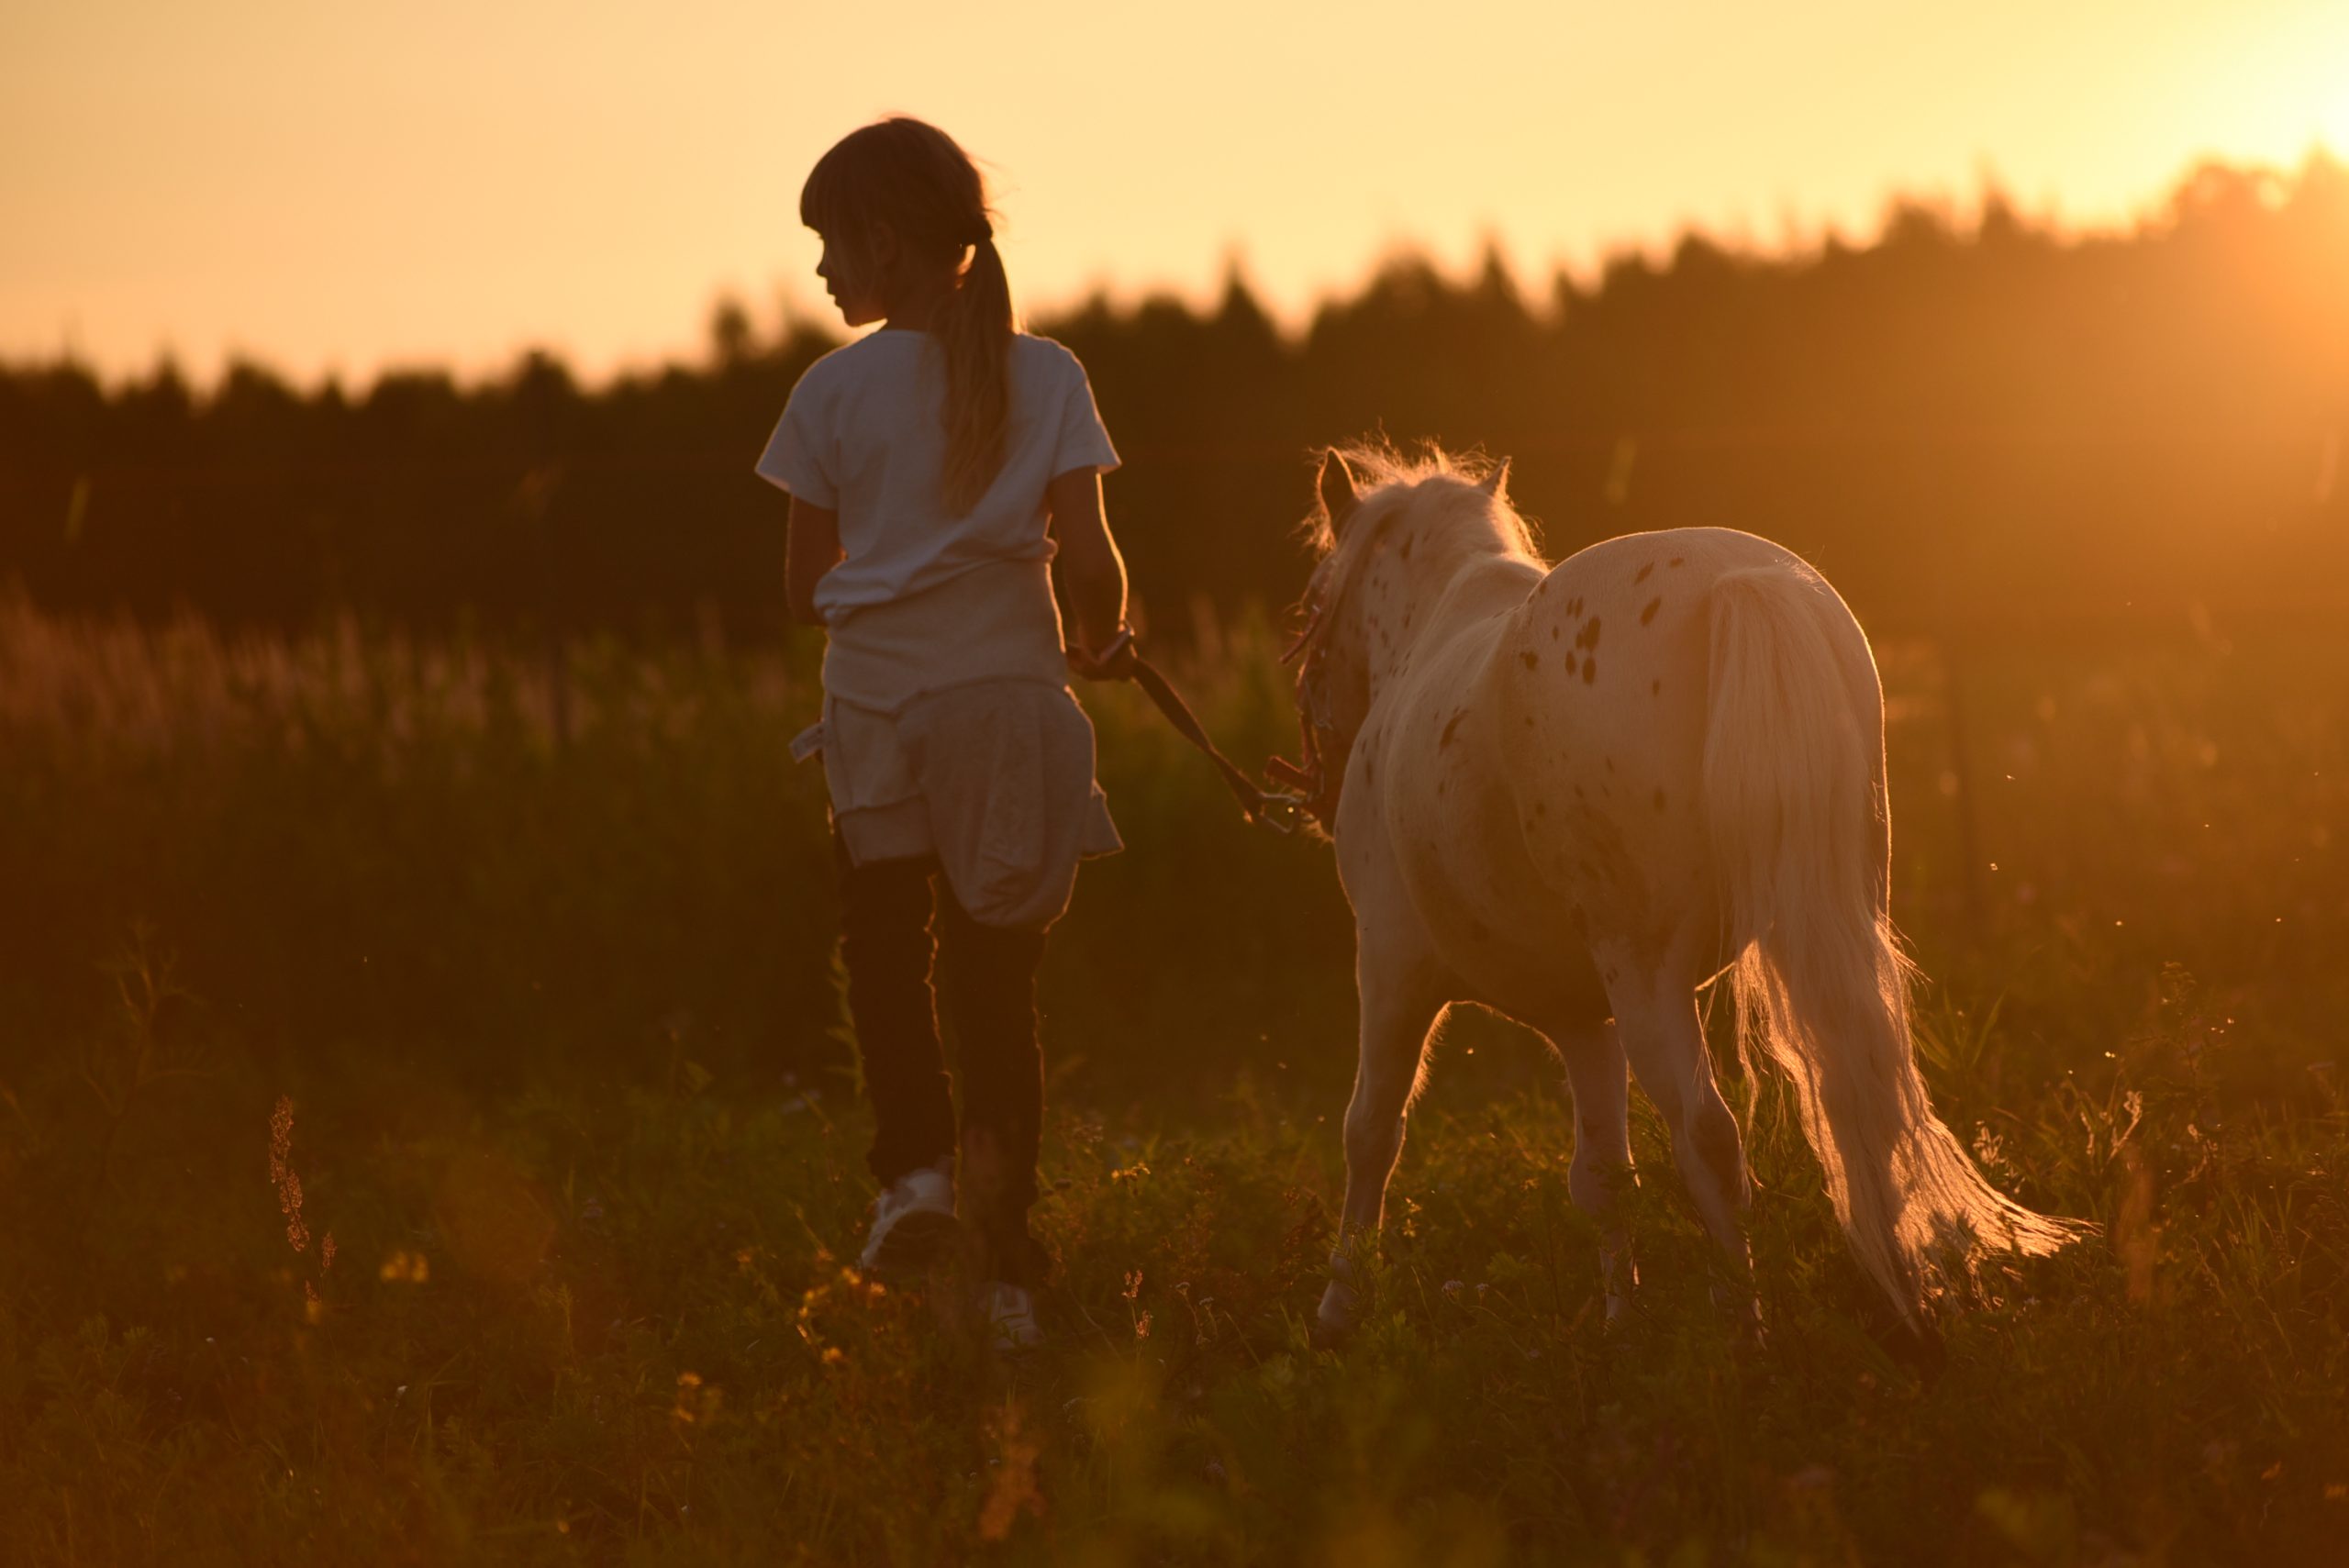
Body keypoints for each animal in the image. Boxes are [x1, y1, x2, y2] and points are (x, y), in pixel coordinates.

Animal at [1286, 443, 2095, 1333]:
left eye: (1311, 605)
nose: (1313, 791)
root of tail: (1737, 582)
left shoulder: (1391, 966)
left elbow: (1371, 1132)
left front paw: (1338, 1307)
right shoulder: (1582, 1016)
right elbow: (1601, 1175)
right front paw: (1621, 1323)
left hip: (1646, 976)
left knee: (1708, 1135)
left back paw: (1744, 1328)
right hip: (1817, 934)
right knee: (1860, 1101)